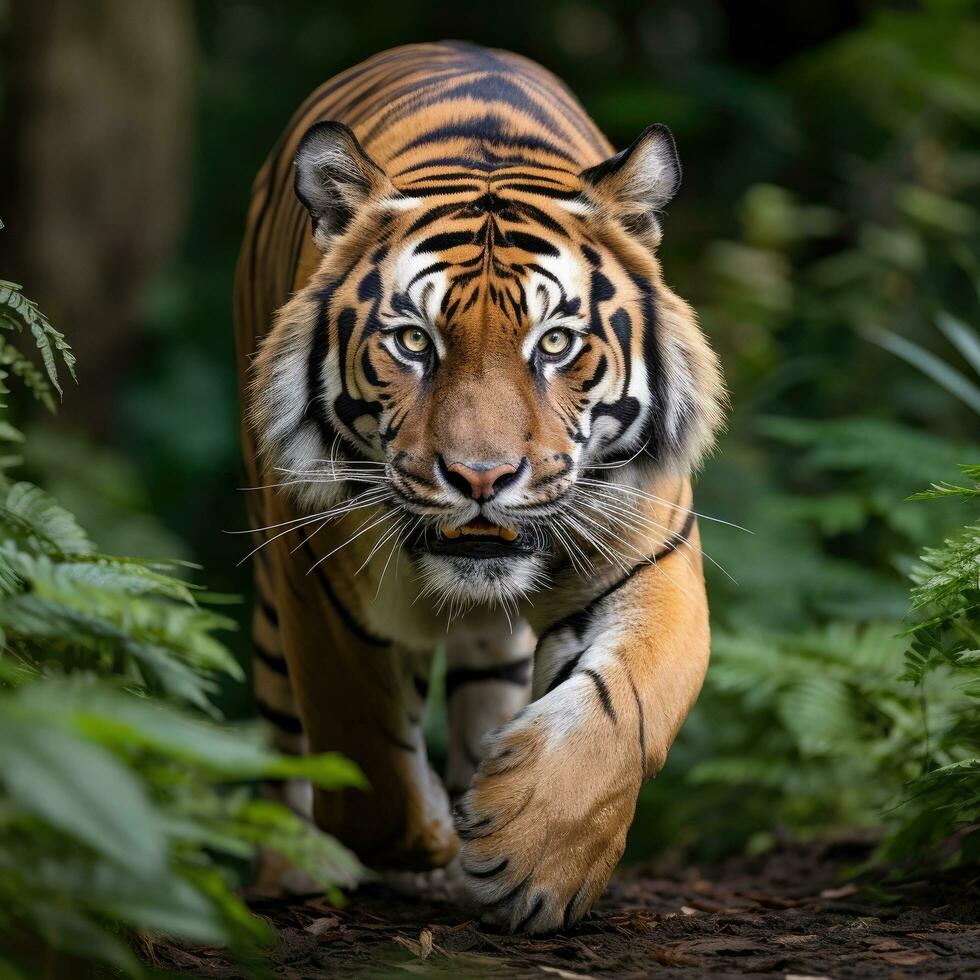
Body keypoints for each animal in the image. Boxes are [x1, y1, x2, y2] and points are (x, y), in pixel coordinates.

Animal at [235, 42, 728, 936]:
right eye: (412, 342)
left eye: (556, 343)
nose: (481, 477)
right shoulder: (316, 578)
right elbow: (363, 758)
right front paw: (433, 835)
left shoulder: (649, 554)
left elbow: (627, 705)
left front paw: (530, 851)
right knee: (290, 739)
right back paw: (293, 874)